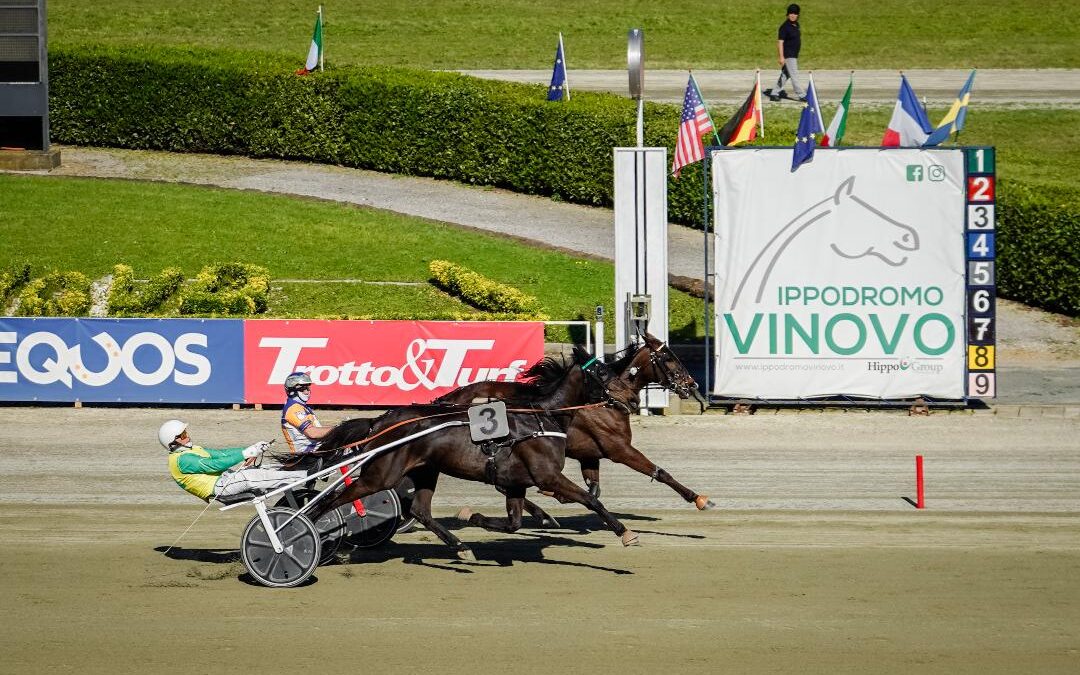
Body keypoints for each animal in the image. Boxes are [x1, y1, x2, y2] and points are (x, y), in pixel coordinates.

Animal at [302, 349, 639, 561]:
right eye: (604, 373)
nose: (633, 398)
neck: (541, 419)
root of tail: (381, 420)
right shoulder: (547, 476)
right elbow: (591, 499)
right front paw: (625, 533)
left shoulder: (516, 483)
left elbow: (514, 523)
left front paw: (472, 517)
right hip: (381, 474)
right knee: (333, 501)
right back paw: (305, 529)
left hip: (425, 470)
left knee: (420, 511)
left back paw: (460, 546)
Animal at [429, 332, 717, 520]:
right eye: (668, 357)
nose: (692, 384)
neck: (604, 402)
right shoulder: (619, 449)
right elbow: (660, 472)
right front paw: (700, 499)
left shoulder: (590, 455)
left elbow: (594, 489)